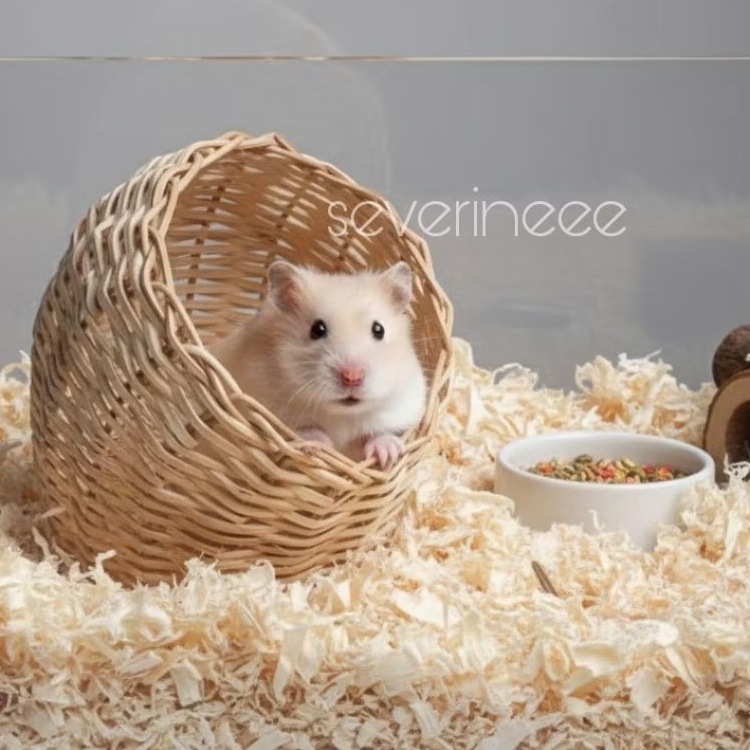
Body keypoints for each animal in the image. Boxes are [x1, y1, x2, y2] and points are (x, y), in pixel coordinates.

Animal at [207, 260, 426, 469]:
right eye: (317, 329)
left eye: (379, 330)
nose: (352, 377)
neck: (341, 415)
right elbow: (300, 428)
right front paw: (320, 444)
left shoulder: (403, 404)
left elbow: (381, 432)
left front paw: (388, 454)